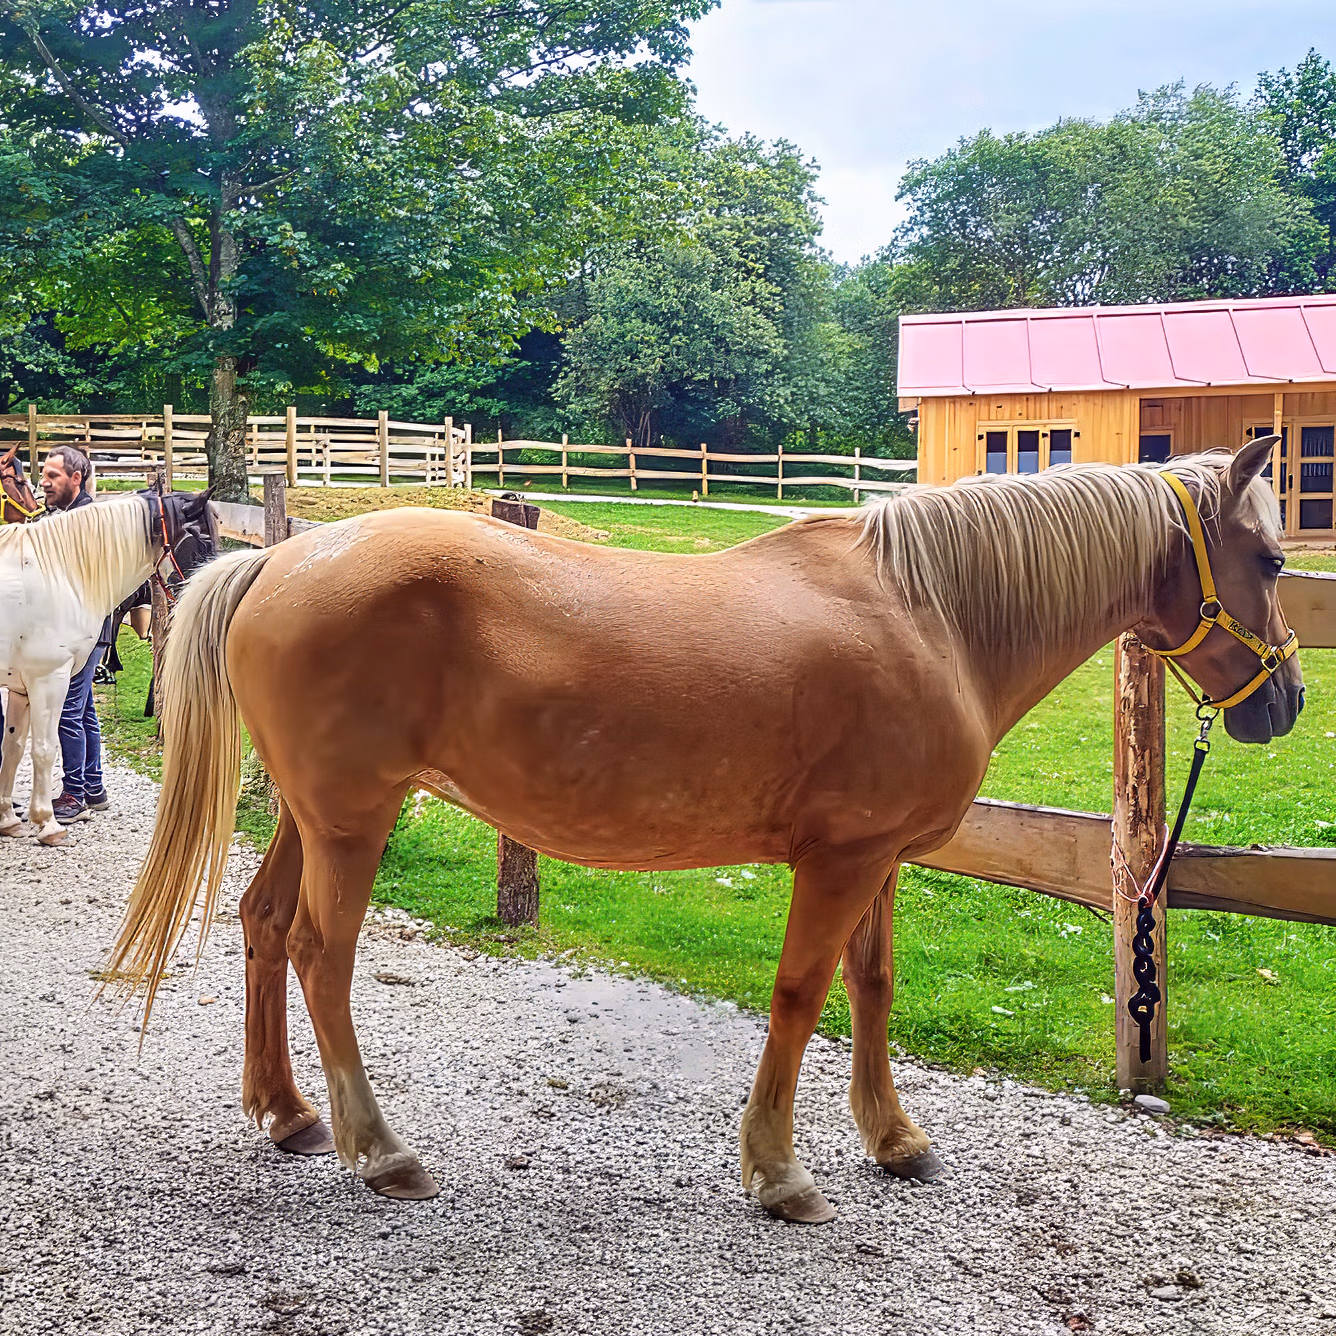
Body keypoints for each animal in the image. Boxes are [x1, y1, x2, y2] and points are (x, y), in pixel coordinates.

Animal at [0, 488, 216, 845]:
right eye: (204, 539)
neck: (60, 572)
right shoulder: (48, 679)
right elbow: (45, 750)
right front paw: (48, 824)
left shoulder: (21, 689)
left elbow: (13, 748)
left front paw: (8, 819)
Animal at [106, 441, 1301, 1221]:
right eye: (1273, 561)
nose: (1283, 703)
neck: (931, 617)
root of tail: (277, 559)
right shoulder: (839, 862)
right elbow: (800, 996)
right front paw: (778, 1171)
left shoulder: (879, 860)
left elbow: (872, 988)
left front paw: (894, 1139)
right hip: (355, 820)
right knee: (320, 952)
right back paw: (378, 1150)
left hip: (317, 814)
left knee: (264, 925)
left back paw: (288, 1115)